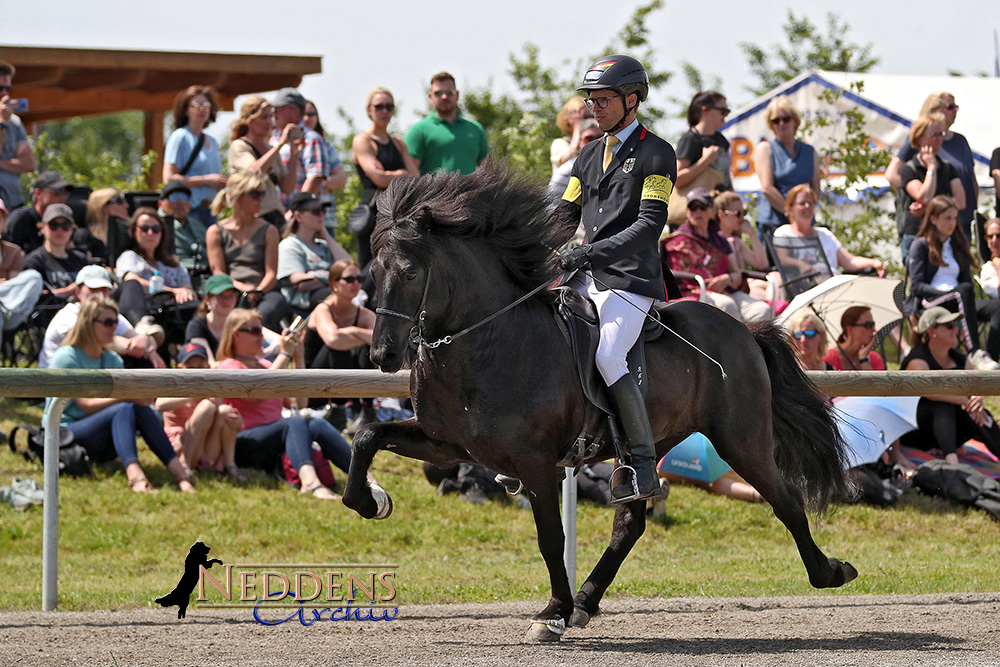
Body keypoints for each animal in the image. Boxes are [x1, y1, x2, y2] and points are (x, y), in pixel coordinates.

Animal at [342, 162, 852, 640]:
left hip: (741, 440)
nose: (383, 355)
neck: (488, 342)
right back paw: (586, 600)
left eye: (410, 272)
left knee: (786, 499)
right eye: (373, 272)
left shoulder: (534, 462)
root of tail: (743, 329)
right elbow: (367, 435)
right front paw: (371, 501)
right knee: (631, 522)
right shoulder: (447, 444)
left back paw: (830, 572)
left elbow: (552, 538)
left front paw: (552, 613)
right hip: (651, 447)